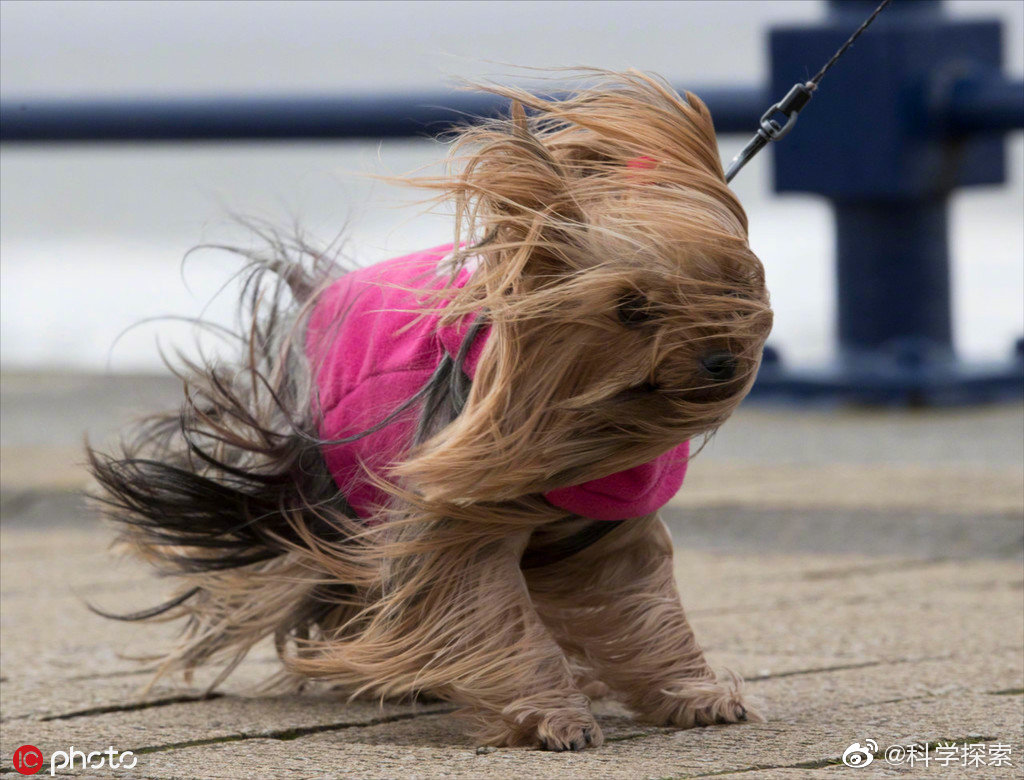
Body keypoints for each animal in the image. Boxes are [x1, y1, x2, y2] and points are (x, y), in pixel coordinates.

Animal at [88, 71, 770, 749]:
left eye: (732, 284)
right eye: (631, 307)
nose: (721, 360)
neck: (588, 425)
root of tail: (315, 296)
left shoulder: (613, 525)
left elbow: (648, 608)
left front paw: (696, 698)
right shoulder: (452, 519)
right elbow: (492, 611)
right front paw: (556, 718)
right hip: (321, 491)